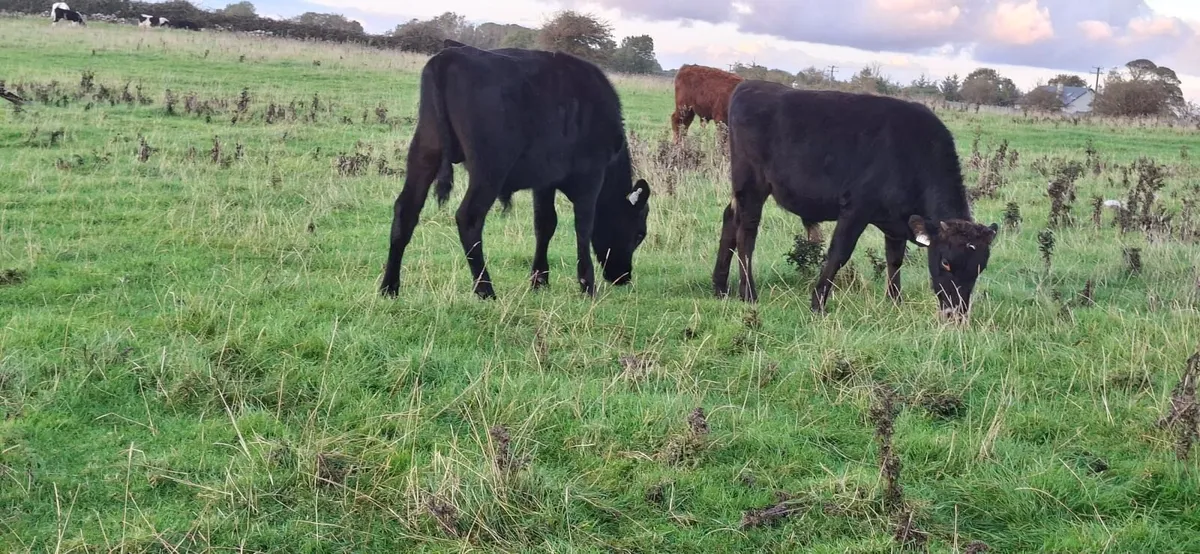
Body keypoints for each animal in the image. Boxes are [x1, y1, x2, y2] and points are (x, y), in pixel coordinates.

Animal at [380, 40, 652, 300]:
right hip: (490, 168)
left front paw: (539, 280)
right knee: (469, 217)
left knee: (406, 210)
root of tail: (448, 56)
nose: (623, 277)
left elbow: (545, 224)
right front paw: (588, 287)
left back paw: (389, 287)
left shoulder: (545, 181)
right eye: (640, 234)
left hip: (425, 152)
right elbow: (583, 228)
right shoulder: (590, 177)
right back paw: (485, 290)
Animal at [712, 79, 1000, 322]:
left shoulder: (896, 223)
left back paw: (719, 287)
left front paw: (894, 302)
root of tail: (751, 85)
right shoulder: (855, 210)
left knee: (730, 220)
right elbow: (839, 254)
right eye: (945, 262)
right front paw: (818, 303)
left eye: (980, 268)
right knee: (746, 234)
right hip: (751, 185)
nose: (956, 314)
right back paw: (748, 293)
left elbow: (894, 260)